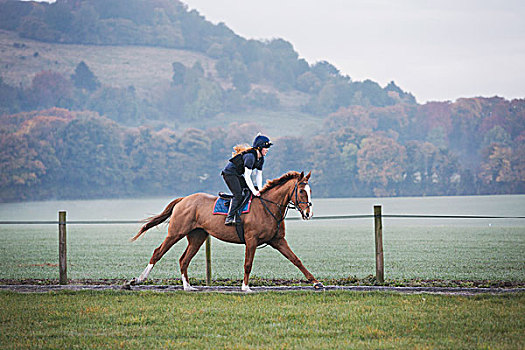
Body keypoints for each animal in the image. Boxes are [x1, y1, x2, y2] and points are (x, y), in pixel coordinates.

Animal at [124, 171, 322, 292]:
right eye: (302, 191)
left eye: (310, 190)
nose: (308, 213)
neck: (268, 207)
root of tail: (183, 200)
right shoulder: (251, 240)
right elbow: (248, 264)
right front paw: (245, 287)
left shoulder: (278, 240)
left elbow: (296, 260)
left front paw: (316, 282)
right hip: (175, 233)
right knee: (158, 252)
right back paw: (137, 280)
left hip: (197, 237)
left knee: (183, 259)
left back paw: (187, 286)